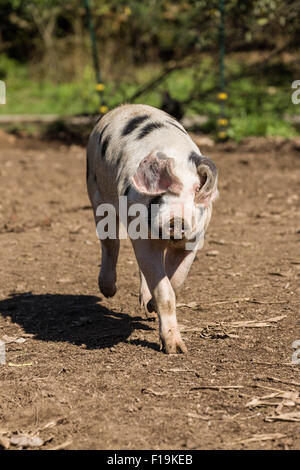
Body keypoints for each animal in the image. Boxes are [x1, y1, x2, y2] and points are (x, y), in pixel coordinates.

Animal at [86, 103, 218, 352]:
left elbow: (176, 282)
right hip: (95, 191)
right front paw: (175, 350)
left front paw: (150, 308)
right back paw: (108, 291)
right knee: (110, 244)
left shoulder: (193, 240)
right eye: (160, 192)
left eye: (196, 189)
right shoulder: (143, 238)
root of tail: (127, 107)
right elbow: (165, 291)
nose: (177, 221)